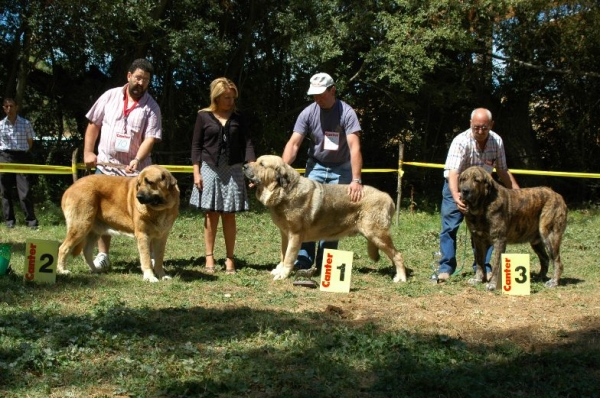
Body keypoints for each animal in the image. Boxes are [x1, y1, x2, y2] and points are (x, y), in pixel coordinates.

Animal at [241, 154, 406, 282]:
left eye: (262, 164)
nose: (244, 166)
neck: (284, 191)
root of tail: (388, 198)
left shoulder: (295, 235)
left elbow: (289, 257)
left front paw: (283, 274)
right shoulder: (284, 234)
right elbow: (283, 254)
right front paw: (279, 269)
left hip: (376, 234)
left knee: (397, 255)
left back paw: (401, 277)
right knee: (393, 255)